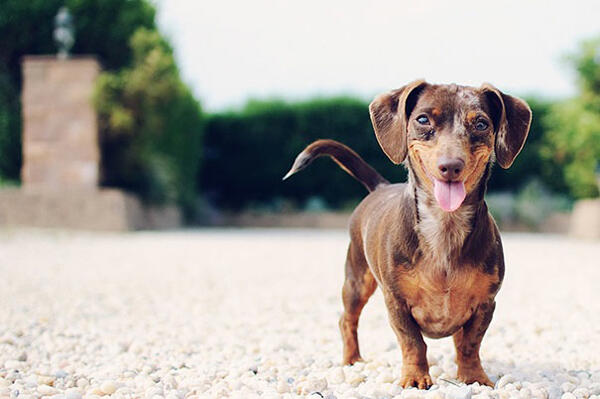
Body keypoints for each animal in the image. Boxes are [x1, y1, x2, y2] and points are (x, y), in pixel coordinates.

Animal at [284, 81, 532, 390]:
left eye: (481, 124)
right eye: (423, 120)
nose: (451, 166)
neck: (444, 226)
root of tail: (380, 186)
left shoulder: (486, 303)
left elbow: (469, 344)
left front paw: (473, 377)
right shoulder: (396, 302)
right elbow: (413, 342)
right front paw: (415, 377)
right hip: (357, 281)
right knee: (347, 320)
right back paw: (352, 359)